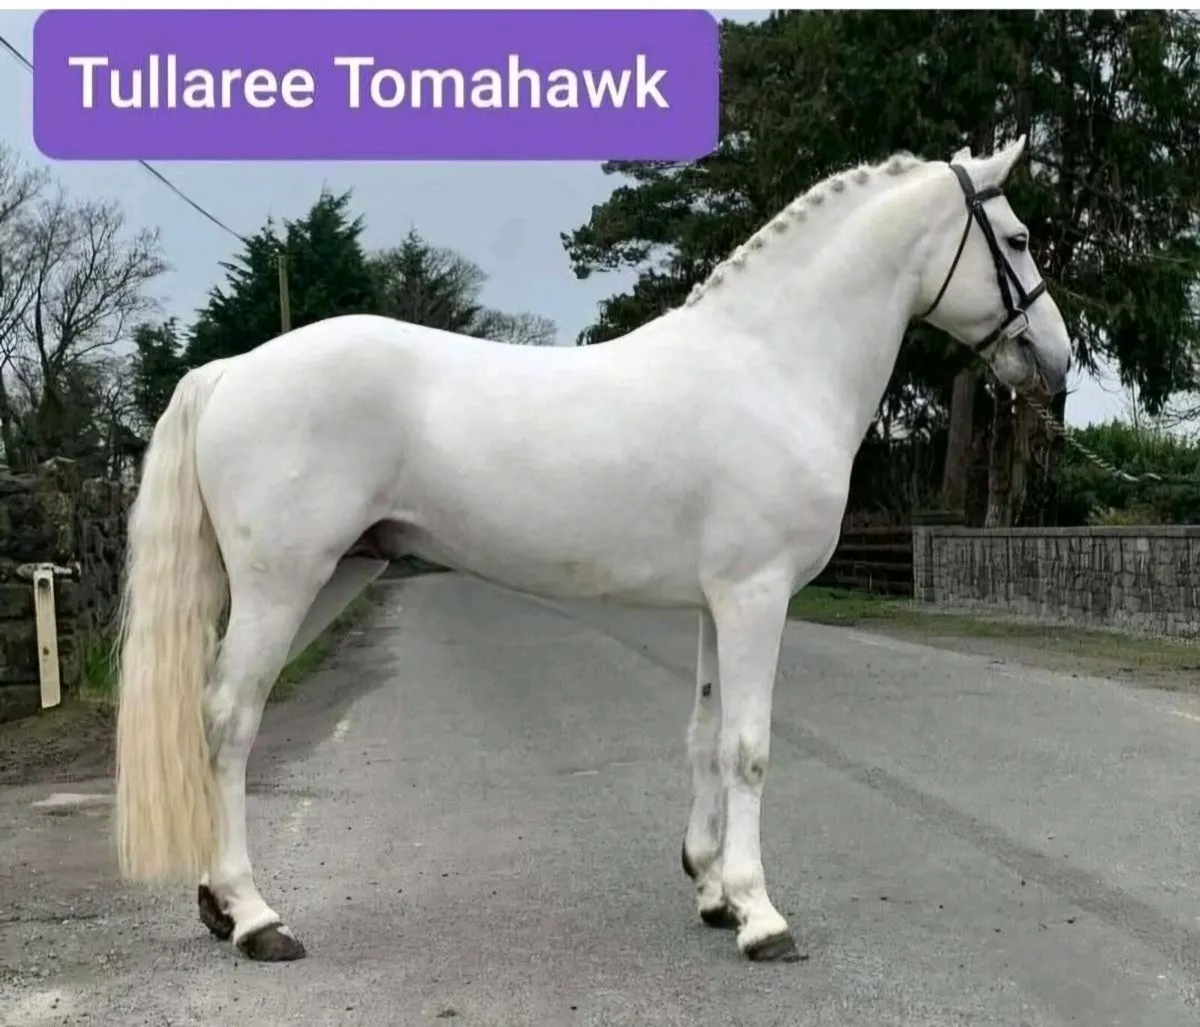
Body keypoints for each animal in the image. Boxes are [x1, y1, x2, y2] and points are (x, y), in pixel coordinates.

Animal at [112, 136, 1071, 965]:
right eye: (1019, 238)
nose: (1056, 359)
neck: (770, 366)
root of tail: (233, 369)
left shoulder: (717, 602)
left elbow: (704, 733)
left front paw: (712, 890)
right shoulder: (757, 595)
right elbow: (750, 745)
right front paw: (761, 916)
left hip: (325, 580)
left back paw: (217, 904)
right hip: (283, 584)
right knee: (230, 719)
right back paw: (254, 917)